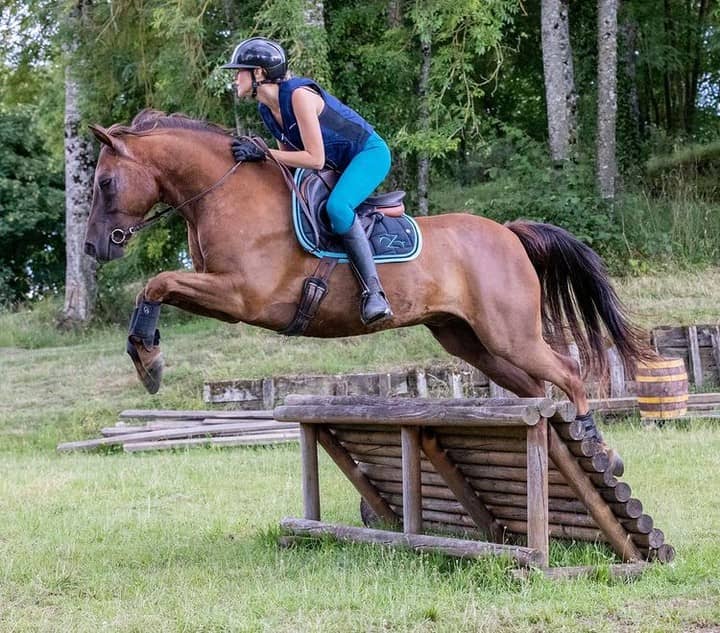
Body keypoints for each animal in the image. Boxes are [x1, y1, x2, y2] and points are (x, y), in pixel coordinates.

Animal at [84, 111, 652, 472]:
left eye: (105, 184)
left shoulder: (241, 295)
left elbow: (156, 282)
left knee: (569, 373)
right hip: (469, 340)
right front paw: (147, 356)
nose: (93, 248)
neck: (227, 192)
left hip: (509, 334)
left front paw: (149, 362)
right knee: (534, 389)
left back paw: (602, 453)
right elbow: (155, 288)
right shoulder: (225, 299)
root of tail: (510, 233)